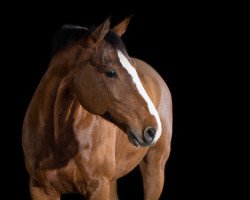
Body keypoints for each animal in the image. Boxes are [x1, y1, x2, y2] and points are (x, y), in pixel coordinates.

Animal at [22, 17, 172, 200]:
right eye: (111, 72)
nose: (153, 130)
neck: (57, 140)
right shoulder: (40, 189)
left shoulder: (98, 187)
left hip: (155, 168)